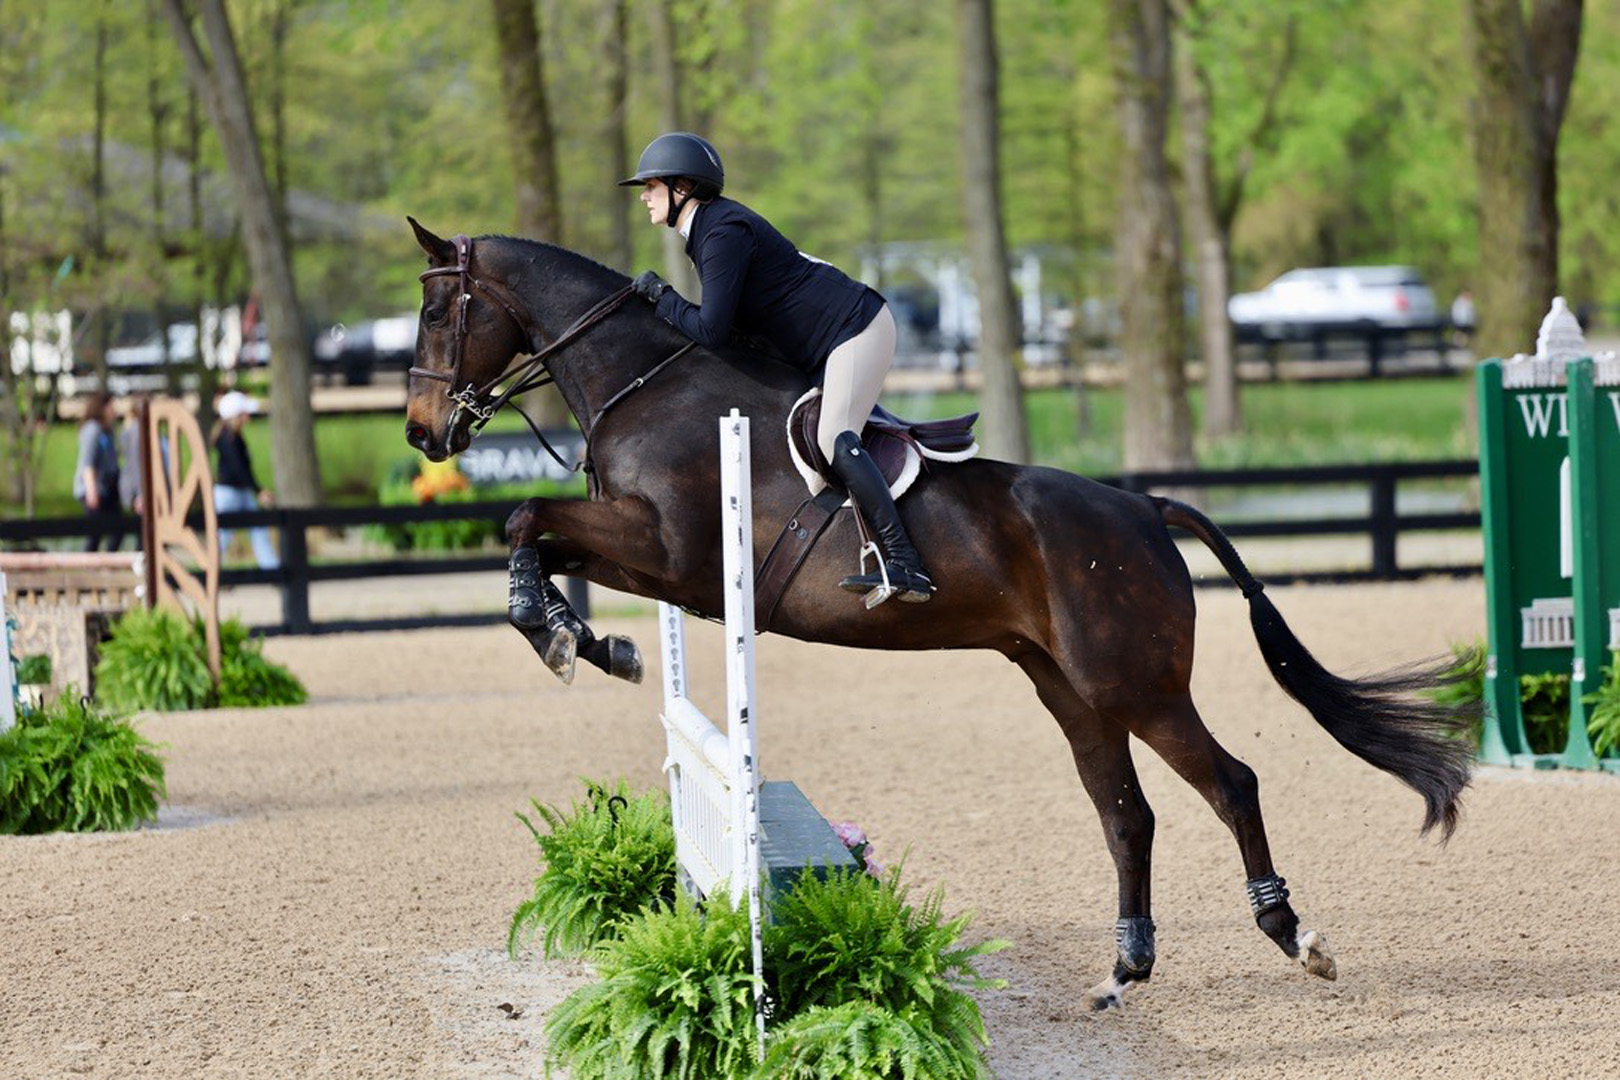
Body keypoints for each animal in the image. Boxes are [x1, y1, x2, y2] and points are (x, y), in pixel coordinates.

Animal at [401, 219, 1475, 1010]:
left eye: (439, 309)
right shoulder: (645, 555)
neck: (645, 383)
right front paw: (587, 638)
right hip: (1070, 688)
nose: (422, 434)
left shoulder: (670, 551)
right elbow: (537, 533)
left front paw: (563, 635)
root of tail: (1143, 509)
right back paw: (1122, 972)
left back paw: (1295, 937)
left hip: (1136, 683)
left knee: (1231, 785)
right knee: (1125, 814)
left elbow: (527, 516)